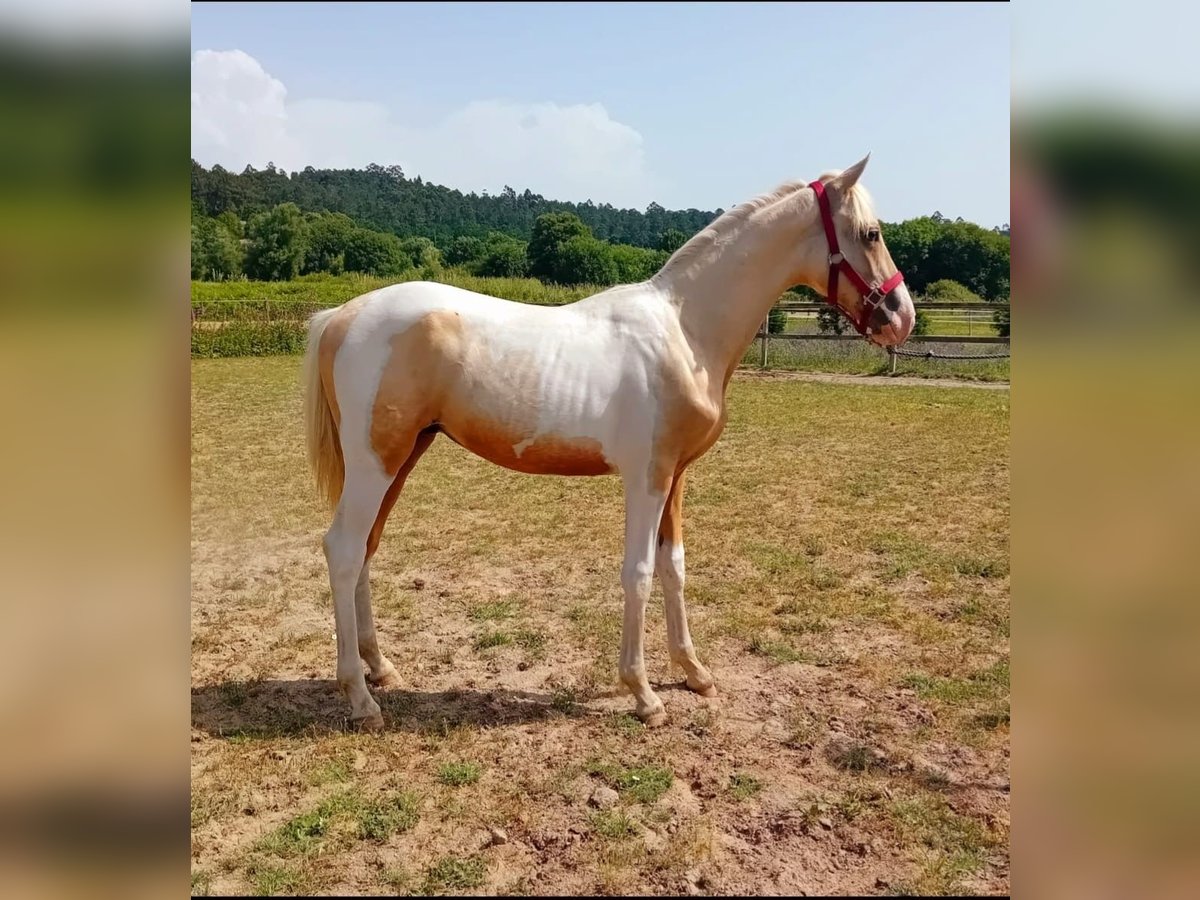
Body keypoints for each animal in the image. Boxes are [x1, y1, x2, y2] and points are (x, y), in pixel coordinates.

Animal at [304, 157, 912, 734]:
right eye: (871, 233)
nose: (901, 317)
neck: (684, 330)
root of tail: (341, 316)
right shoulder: (647, 477)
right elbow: (638, 573)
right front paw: (643, 695)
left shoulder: (676, 477)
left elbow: (674, 567)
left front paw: (693, 673)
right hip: (375, 464)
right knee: (343, 549)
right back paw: (360, 698)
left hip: (403, 456)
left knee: (366, 548)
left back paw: (381, 669)